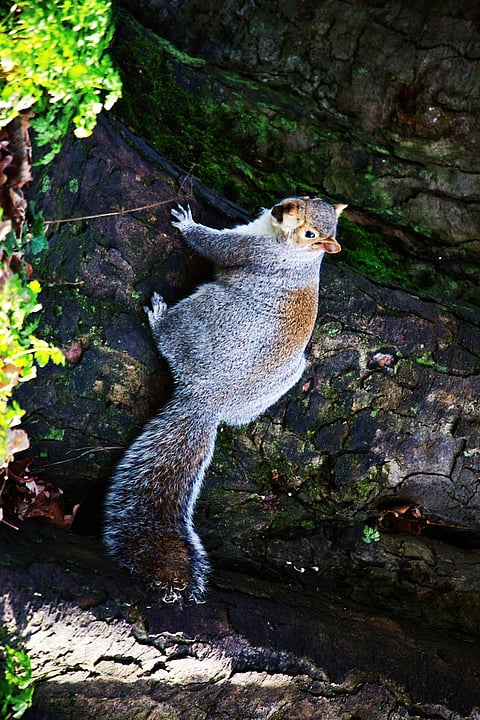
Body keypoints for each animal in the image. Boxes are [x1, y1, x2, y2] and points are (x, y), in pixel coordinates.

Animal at [103, 196, 346, 603]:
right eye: (311, 199)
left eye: (312, 233)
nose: (283, 207)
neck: (295, 253)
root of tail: (210, 400)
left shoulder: (249, 250)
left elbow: (213, 246)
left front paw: (187, 223)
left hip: (205, 311)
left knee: (172, 335)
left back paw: (159, 318)